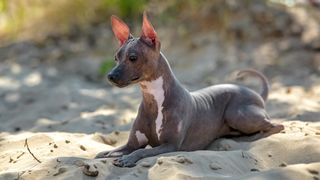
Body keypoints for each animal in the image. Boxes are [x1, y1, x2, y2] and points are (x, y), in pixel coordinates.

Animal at [95, 12, 284, 167]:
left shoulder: (170, 145)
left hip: (237, 114)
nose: (110, 76)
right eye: (116, 57)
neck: (153, 99)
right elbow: (109, 152)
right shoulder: (131, 143)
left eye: (133, 58)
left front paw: (128, 159)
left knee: (276, 125)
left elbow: (142, 150)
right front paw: (107, 154)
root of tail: (256, 94)